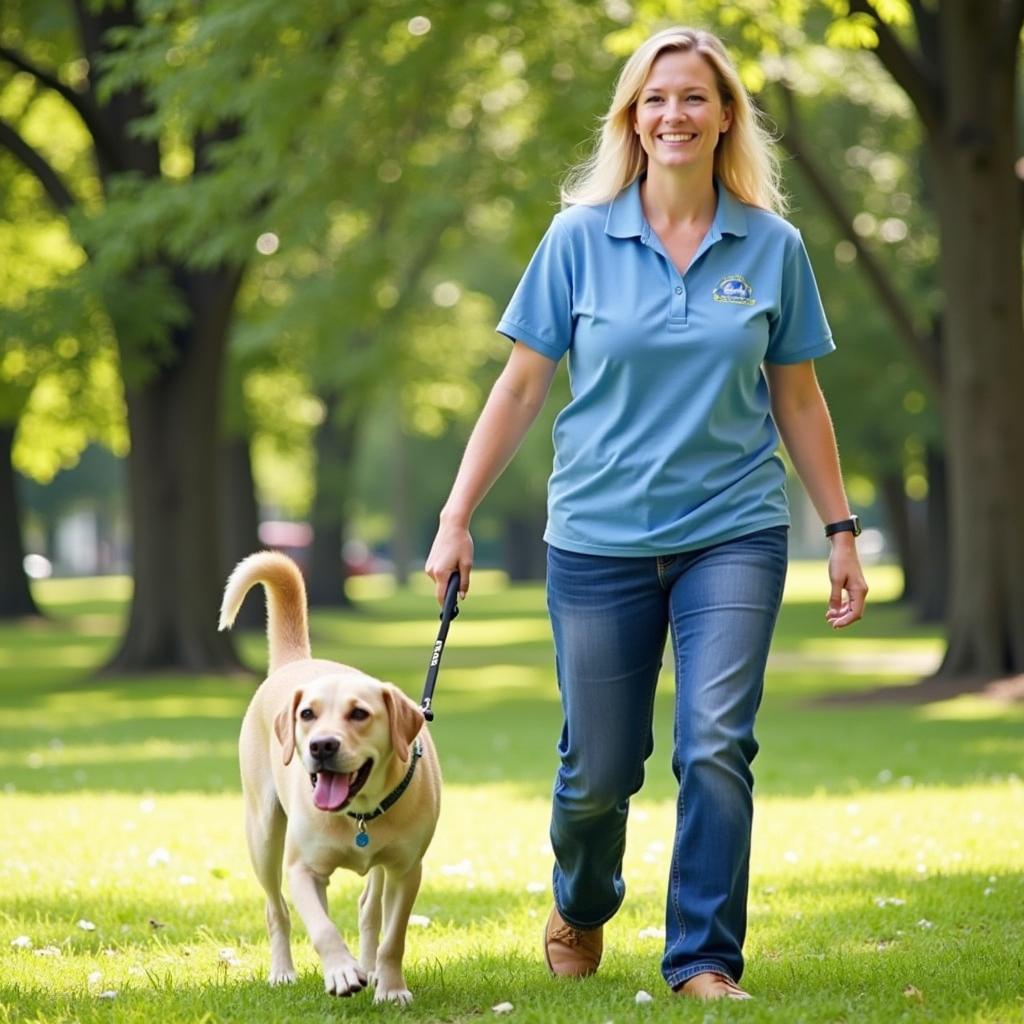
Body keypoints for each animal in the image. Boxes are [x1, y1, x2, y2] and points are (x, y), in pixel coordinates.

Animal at [218, 552, 442, 999]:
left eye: (359, 713)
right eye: (307, 714)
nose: (321, 746)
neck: (360, 813)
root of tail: (296, 662)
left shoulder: (407, 870)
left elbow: (394, 936)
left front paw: (391, 988)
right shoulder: (302, 869)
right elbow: (321, 927)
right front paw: (340, 971)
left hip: (379, 867)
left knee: (369, 909)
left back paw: (370, 968)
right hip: (263, 835)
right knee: (276, 909)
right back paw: (284, 972)